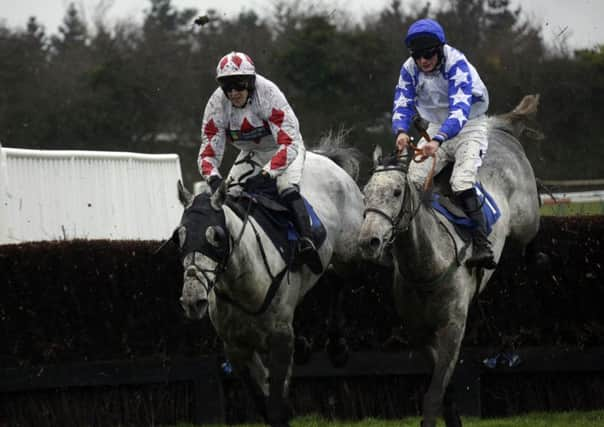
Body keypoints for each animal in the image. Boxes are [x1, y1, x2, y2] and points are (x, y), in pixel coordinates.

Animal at [172, 139, 366, 426]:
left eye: (216, 236)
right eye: (179, 237)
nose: (192, 300)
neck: (243, 284)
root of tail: (326, 158)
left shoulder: (279, 340)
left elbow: (276, 406)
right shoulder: (236, 348)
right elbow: (262, 402)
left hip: (349, 251)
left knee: (338, 280)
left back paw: (337, 347)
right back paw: (306, 344)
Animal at [356, 96, 540, 427]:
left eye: (396, 191)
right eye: (366, 192)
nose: (369, 241)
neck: (426, 267)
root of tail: (494, 125)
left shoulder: (452, 328)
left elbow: (433, 395)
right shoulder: (419, 331)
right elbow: (443, 387)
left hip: (526, 219)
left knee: (529, 235)